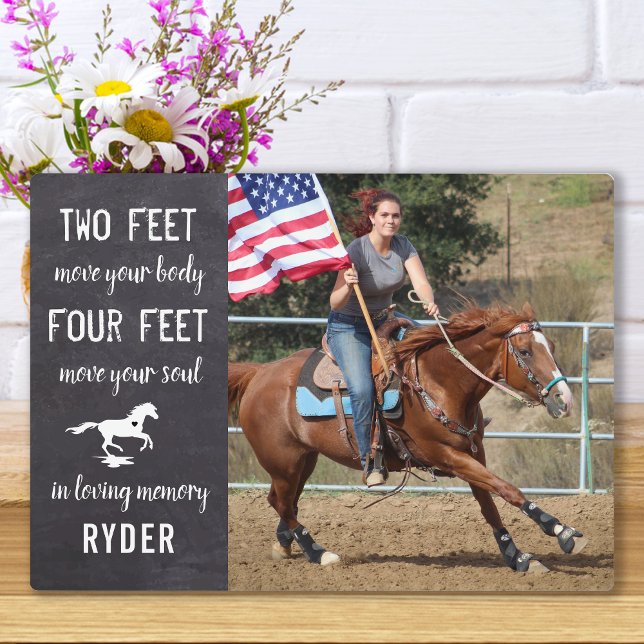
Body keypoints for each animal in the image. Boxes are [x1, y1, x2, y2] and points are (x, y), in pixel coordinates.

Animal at [228, 303, 589, 573]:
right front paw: (562, 531)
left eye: (551, 348)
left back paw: (285, 544)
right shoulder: (448, 456)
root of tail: (258, 373)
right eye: (525, 352)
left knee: (283, 501)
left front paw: (517, 556)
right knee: (281, 501)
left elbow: (489, 504)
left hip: (304, 460)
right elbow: (508, 489)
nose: (565, 399)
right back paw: (320, 552)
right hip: (284, 461)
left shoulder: (474, 453)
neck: (439, 382)